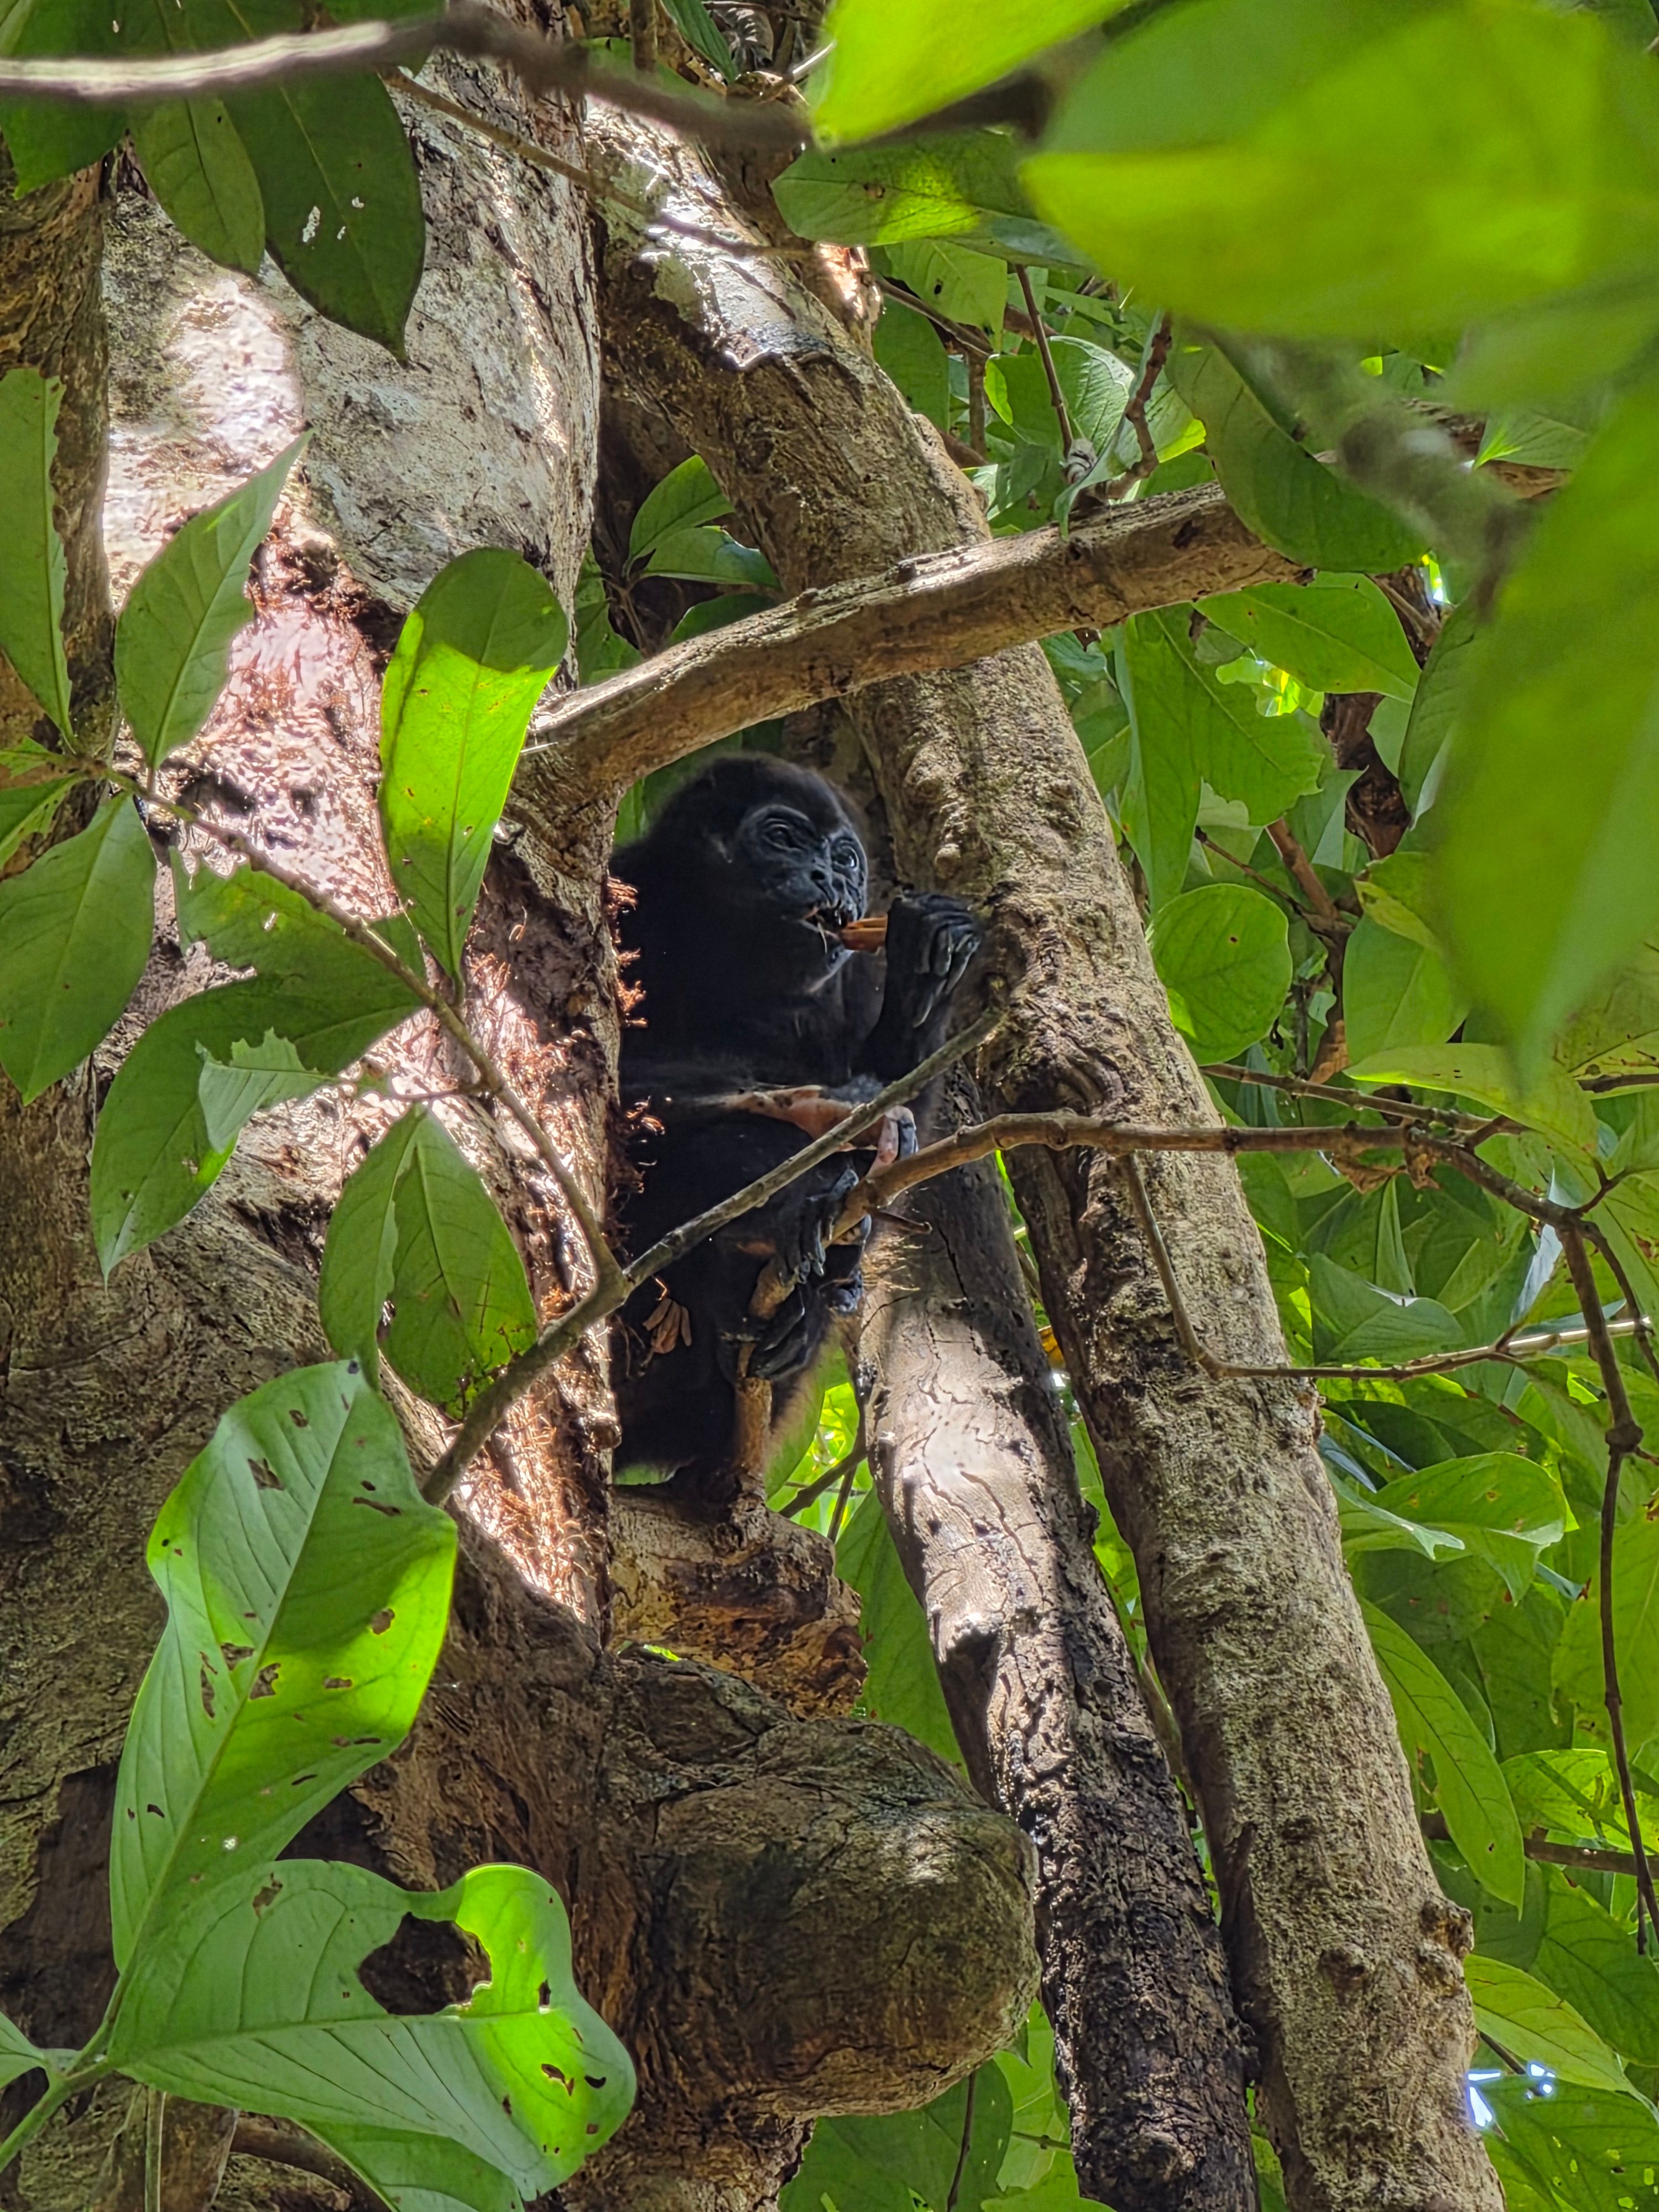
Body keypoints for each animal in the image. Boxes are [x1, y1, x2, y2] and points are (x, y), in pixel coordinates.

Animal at [608, 756, 981, 1496]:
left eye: (846, 859)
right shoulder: (624, 893)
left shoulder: (860, 969)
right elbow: (606, 1067)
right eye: (782, 836)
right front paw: (832, 1111)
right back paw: (785, 1218)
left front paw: (929, 962)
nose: (831, 880)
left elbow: (902, 1160)